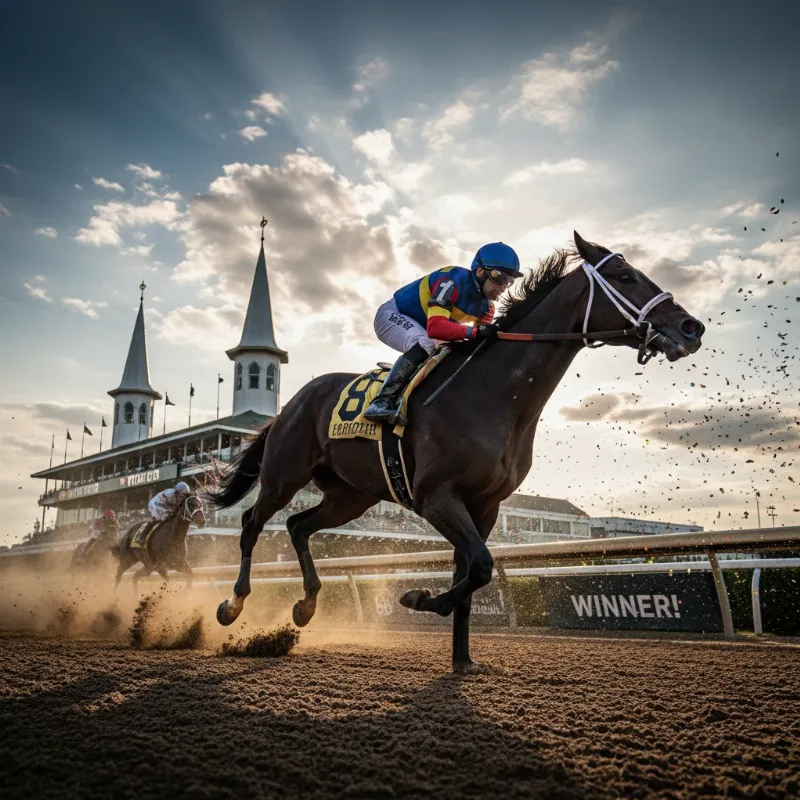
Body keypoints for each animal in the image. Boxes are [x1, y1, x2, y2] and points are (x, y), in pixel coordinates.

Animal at [205, 232, 704, 671]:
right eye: (625, 275)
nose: (691, 326)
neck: (492, 395)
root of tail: (292, 403)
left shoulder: (484, 505)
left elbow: (473, 575)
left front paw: (462, 659)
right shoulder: (436, 497)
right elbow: (479, 567)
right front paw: (418, 598)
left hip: (350, 497)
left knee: (298, 526)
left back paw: (306, 604)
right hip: (284, 475)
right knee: (252, 524)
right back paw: (233, 603)